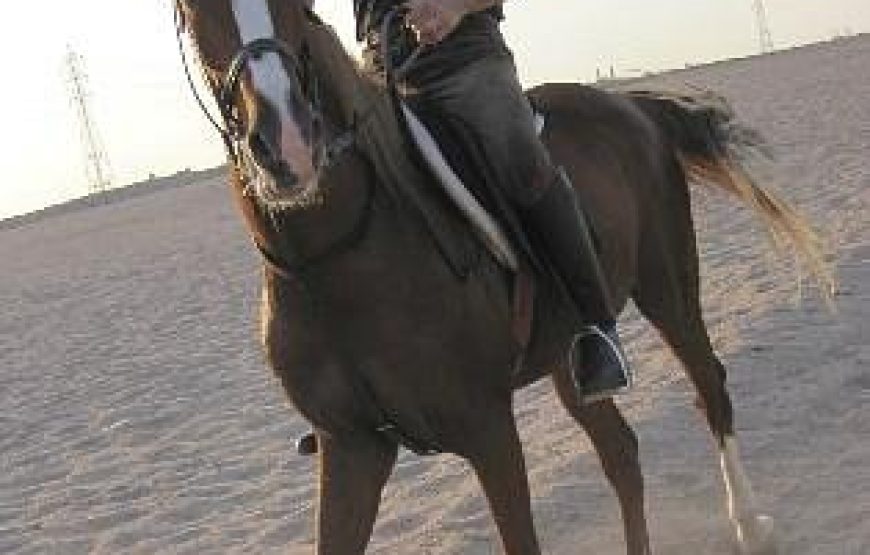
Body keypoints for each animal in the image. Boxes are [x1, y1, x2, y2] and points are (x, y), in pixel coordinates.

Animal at [173, 1, 831, 553]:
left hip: (667, 285)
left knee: (709, 387)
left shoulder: (487, 428)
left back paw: (751, 526)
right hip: (571, 359)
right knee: (621, 450)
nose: (287, 145)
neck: (337, 261)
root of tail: (633, 107)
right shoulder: (351, 447)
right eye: (196, 8)